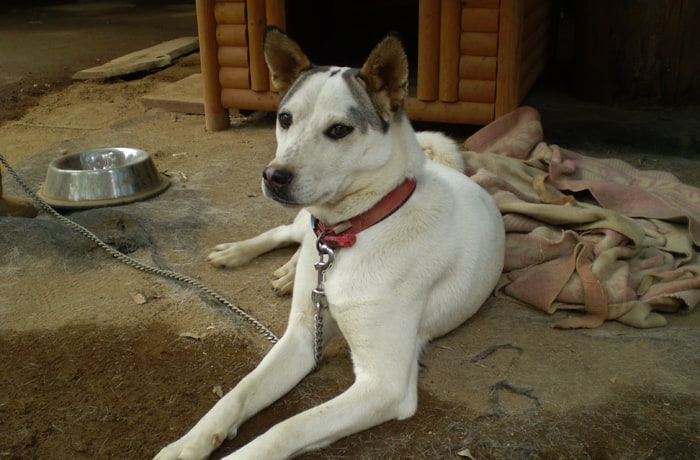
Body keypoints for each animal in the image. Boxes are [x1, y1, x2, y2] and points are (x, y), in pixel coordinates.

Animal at [156, 28, 504, 460]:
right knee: (287, 233)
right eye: (285, 118)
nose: (274, 176)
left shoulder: (384, 383)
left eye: (339, 130)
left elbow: (287, 428)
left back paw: (288, 273)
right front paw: (187, 443)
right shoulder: (301, 337)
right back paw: (242, 255)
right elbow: (236, 394)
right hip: (299, 223)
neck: (351, 234)